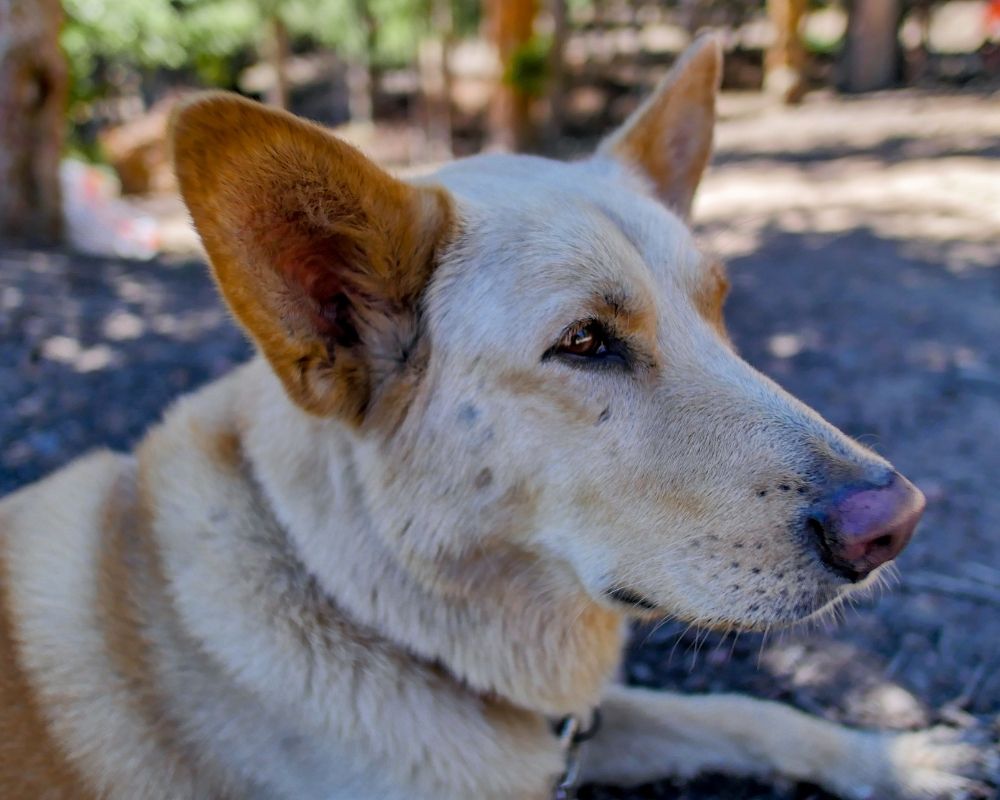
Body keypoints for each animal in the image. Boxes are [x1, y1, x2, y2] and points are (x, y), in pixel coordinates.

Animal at [0, 36, 984, 800]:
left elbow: (741, 713)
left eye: (718, 307)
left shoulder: (573, 723)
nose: (896, 523)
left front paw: (890, 758)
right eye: (585, 342)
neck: (363, 602)